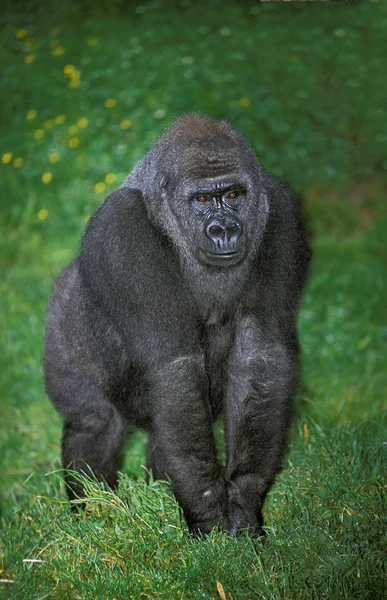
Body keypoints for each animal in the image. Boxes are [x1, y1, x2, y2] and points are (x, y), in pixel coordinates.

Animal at [44, 115, 312, 536]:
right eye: (201, 200)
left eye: (233, 194)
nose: (224, 230)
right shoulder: (121, 226)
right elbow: (174, 365)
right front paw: (208, 511)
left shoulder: (281, 208)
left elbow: (260, 353)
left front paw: (243, 500)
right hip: (62, 319)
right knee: (94, 422)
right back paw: (94, 516)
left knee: (165, 429)